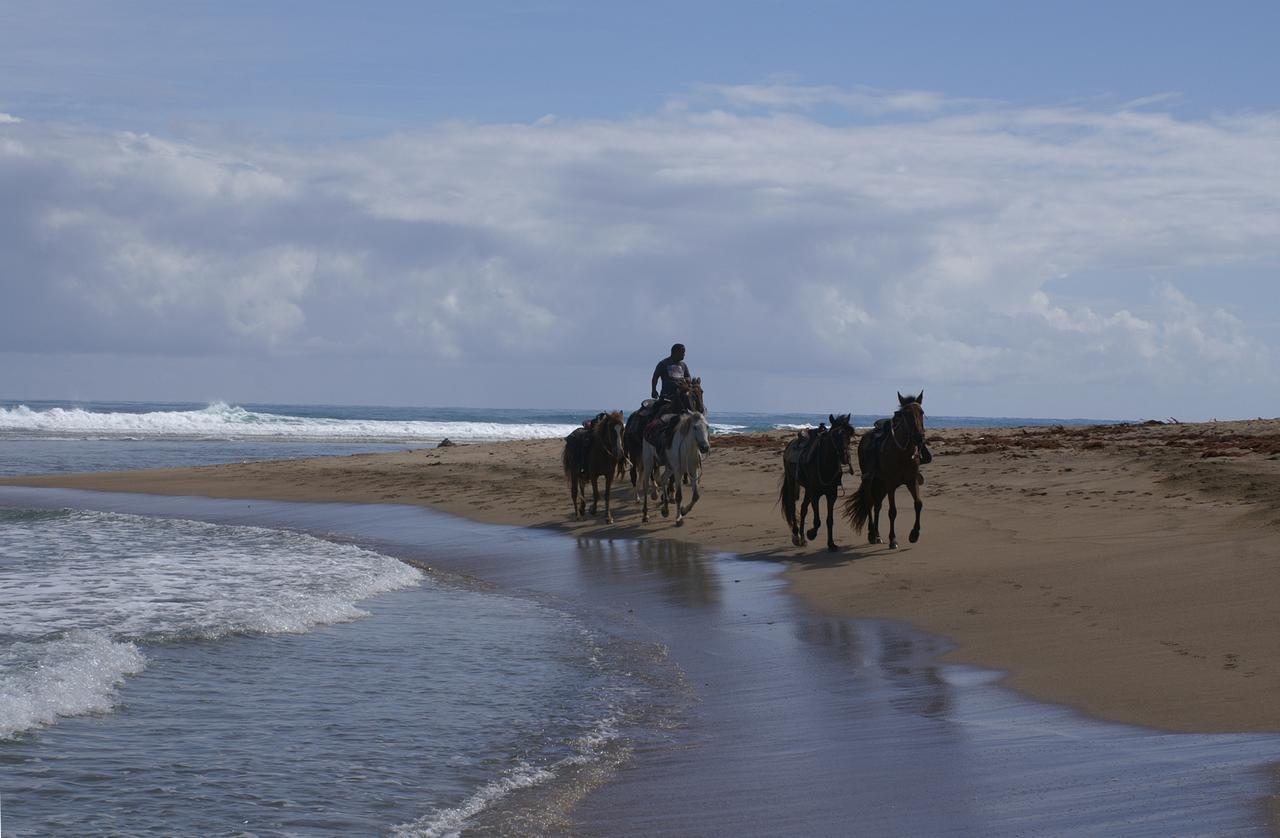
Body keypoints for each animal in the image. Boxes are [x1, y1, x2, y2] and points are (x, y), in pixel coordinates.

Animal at [773, 411, 855, 550]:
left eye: (849, 433)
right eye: (835, 435)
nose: (845, 457)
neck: (825, 464)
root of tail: (790, 445)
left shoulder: (831, 495)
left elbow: (829, 520)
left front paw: (831, 543)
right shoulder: (815, 494)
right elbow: (817, 521)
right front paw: (811, 533)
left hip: (808, 489)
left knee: (803, 509)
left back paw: (802, 538)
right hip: (792, 482)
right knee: (792, 505)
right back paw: (796, 535)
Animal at [839, 394, 931, 550]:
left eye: (921, 412)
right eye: (906, 414)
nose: (919, 437)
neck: (902, 454)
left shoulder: (911, 481)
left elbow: (918, 504)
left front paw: (914, 534)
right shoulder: (891, 484)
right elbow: (892, 511)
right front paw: (893, 539)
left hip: (880, 484)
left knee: (877, 506)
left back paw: (877, 535)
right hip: (871, 481)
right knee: (869, 502)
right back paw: (871, 534)